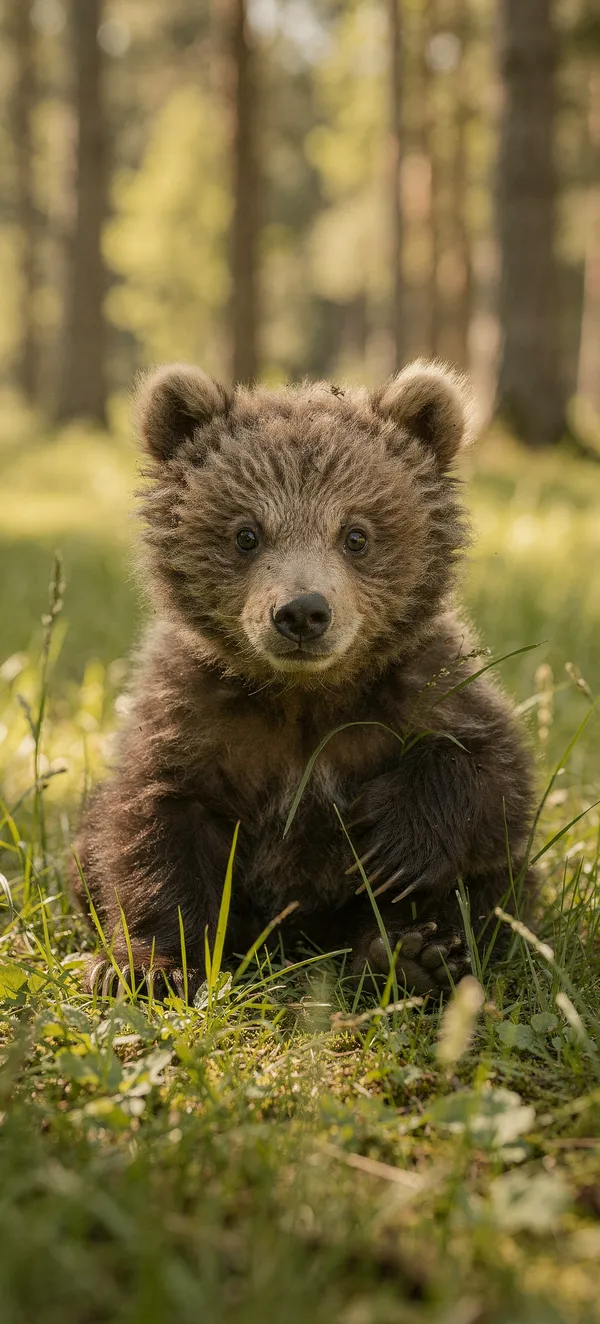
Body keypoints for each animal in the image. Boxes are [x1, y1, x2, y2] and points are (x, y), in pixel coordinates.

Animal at [74, 359, 535, 999]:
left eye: (356, 534)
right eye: (247, 533)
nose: (302, 612)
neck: (303, 695)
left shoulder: (424, 686)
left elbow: (496, 777)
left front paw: (394, 846)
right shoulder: (191, 714)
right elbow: (154, 828)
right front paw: (147, 967)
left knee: (493, 894)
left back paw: (411, 953)